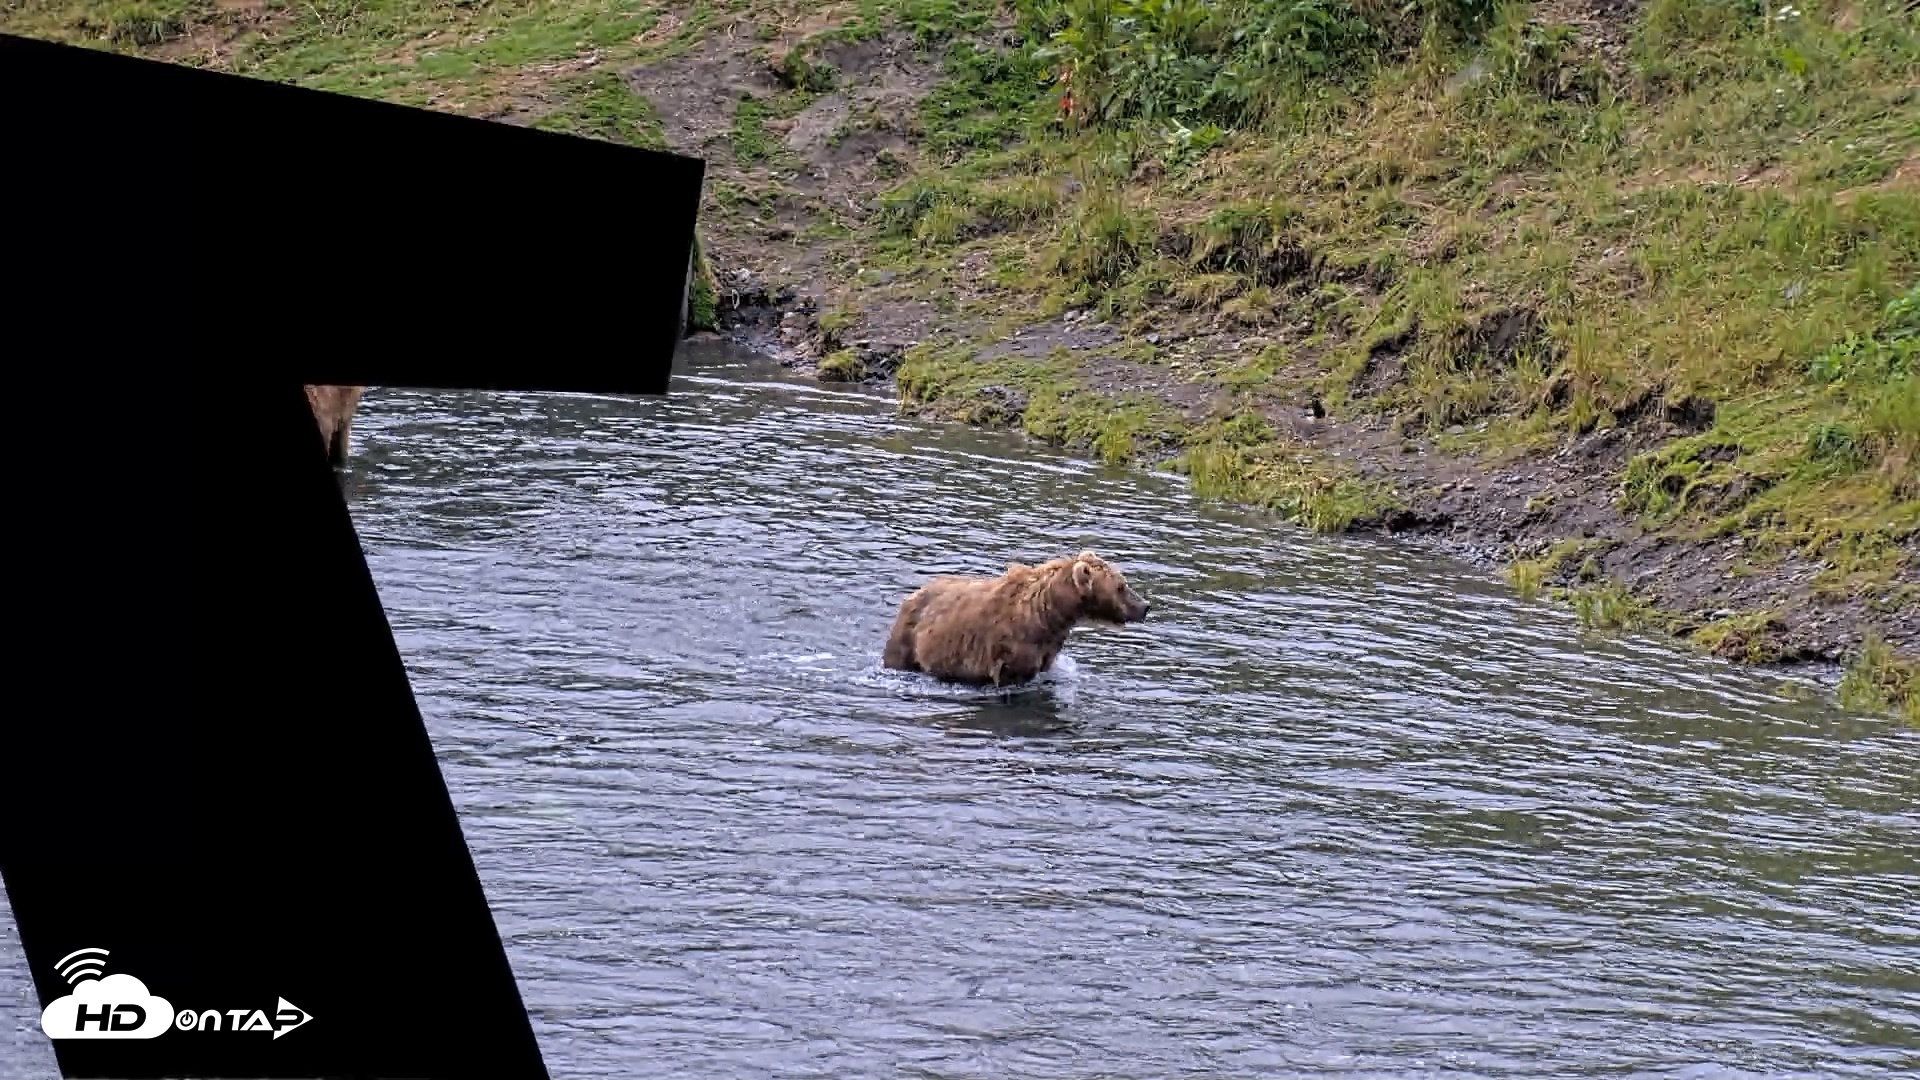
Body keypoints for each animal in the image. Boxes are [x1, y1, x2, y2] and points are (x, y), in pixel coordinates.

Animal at [881, 550, 1150, 688]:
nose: (1145, 606)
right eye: (1120, 586)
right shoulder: (1008, 647)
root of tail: (913, 592)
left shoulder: (1047, 648)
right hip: (909, 637)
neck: (1049, 615)